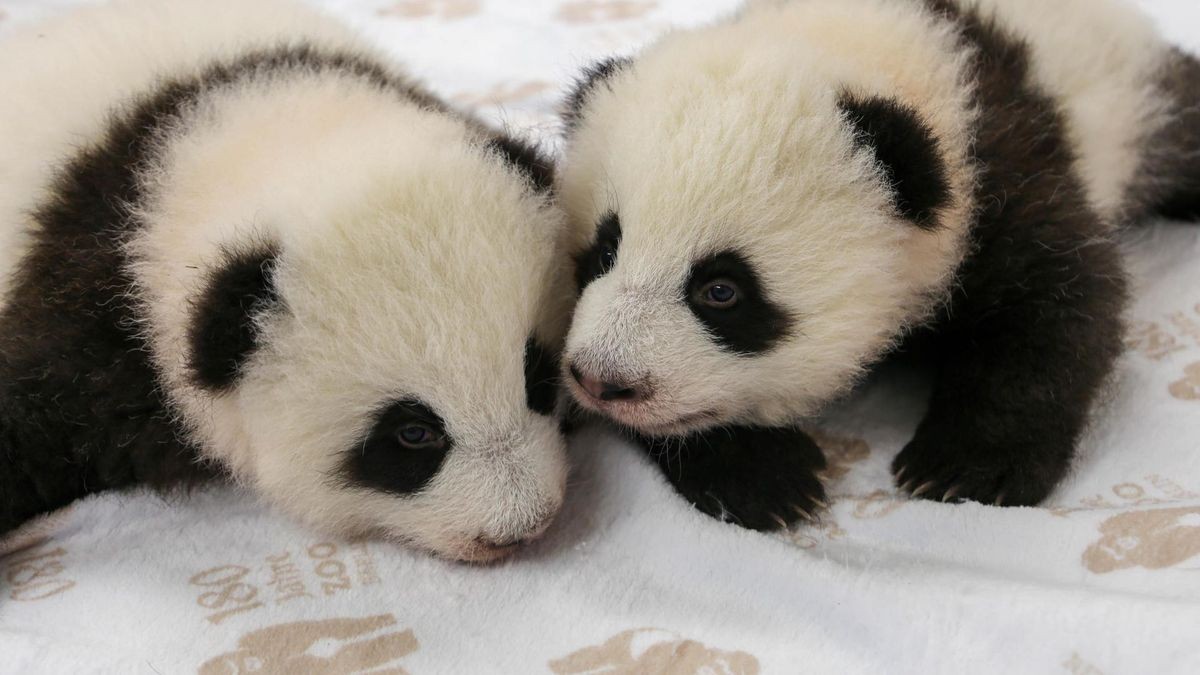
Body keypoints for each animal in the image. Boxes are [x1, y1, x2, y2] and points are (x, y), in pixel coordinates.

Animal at [557, 0, 1200, 531]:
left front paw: (965, 466)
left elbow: (1060, 304)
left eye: (721, 291)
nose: (602, 380)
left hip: (1135, 94)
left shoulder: (1005, 173)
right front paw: (761, 475)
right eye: (604, 252)